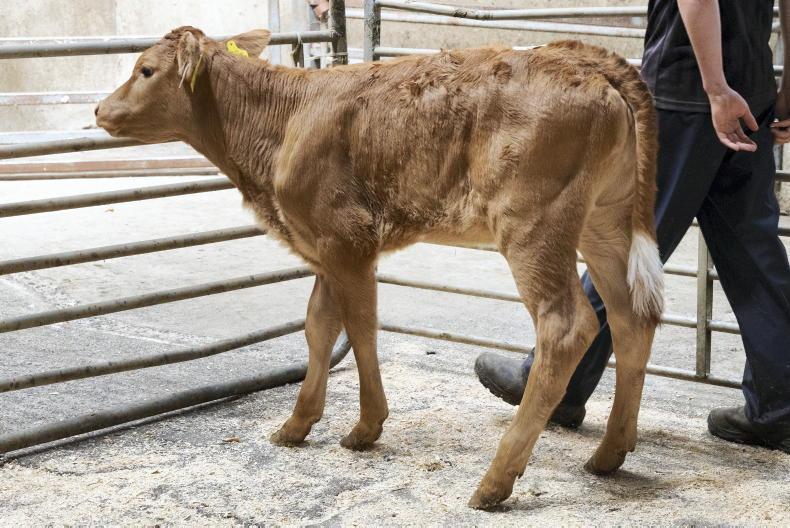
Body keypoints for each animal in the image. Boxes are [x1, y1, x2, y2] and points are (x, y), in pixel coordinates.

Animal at [95, 27, 663, 509]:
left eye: (145, 69)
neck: (283, 120)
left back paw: (495, 480)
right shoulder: (322, 243)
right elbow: (319, 325)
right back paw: (609, 455)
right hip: (605, 222)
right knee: (631, 316)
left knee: (567, 326)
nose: (100, 107)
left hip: (534, 223)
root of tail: (585, 59)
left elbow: (360, 324)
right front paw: (297, 423)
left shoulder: (347, 239)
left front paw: (367, 427)